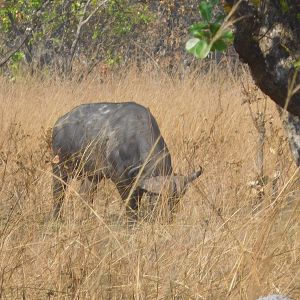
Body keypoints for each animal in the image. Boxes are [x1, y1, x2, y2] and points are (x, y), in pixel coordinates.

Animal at [51, 102, 202, 220]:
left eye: (176, 200)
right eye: (157, 198)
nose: (165, 217)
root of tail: (59, 123)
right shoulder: (121, 181)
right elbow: (130, 205)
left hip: (93, 175)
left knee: (86, 195)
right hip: (59, 167)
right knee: (58, 193)